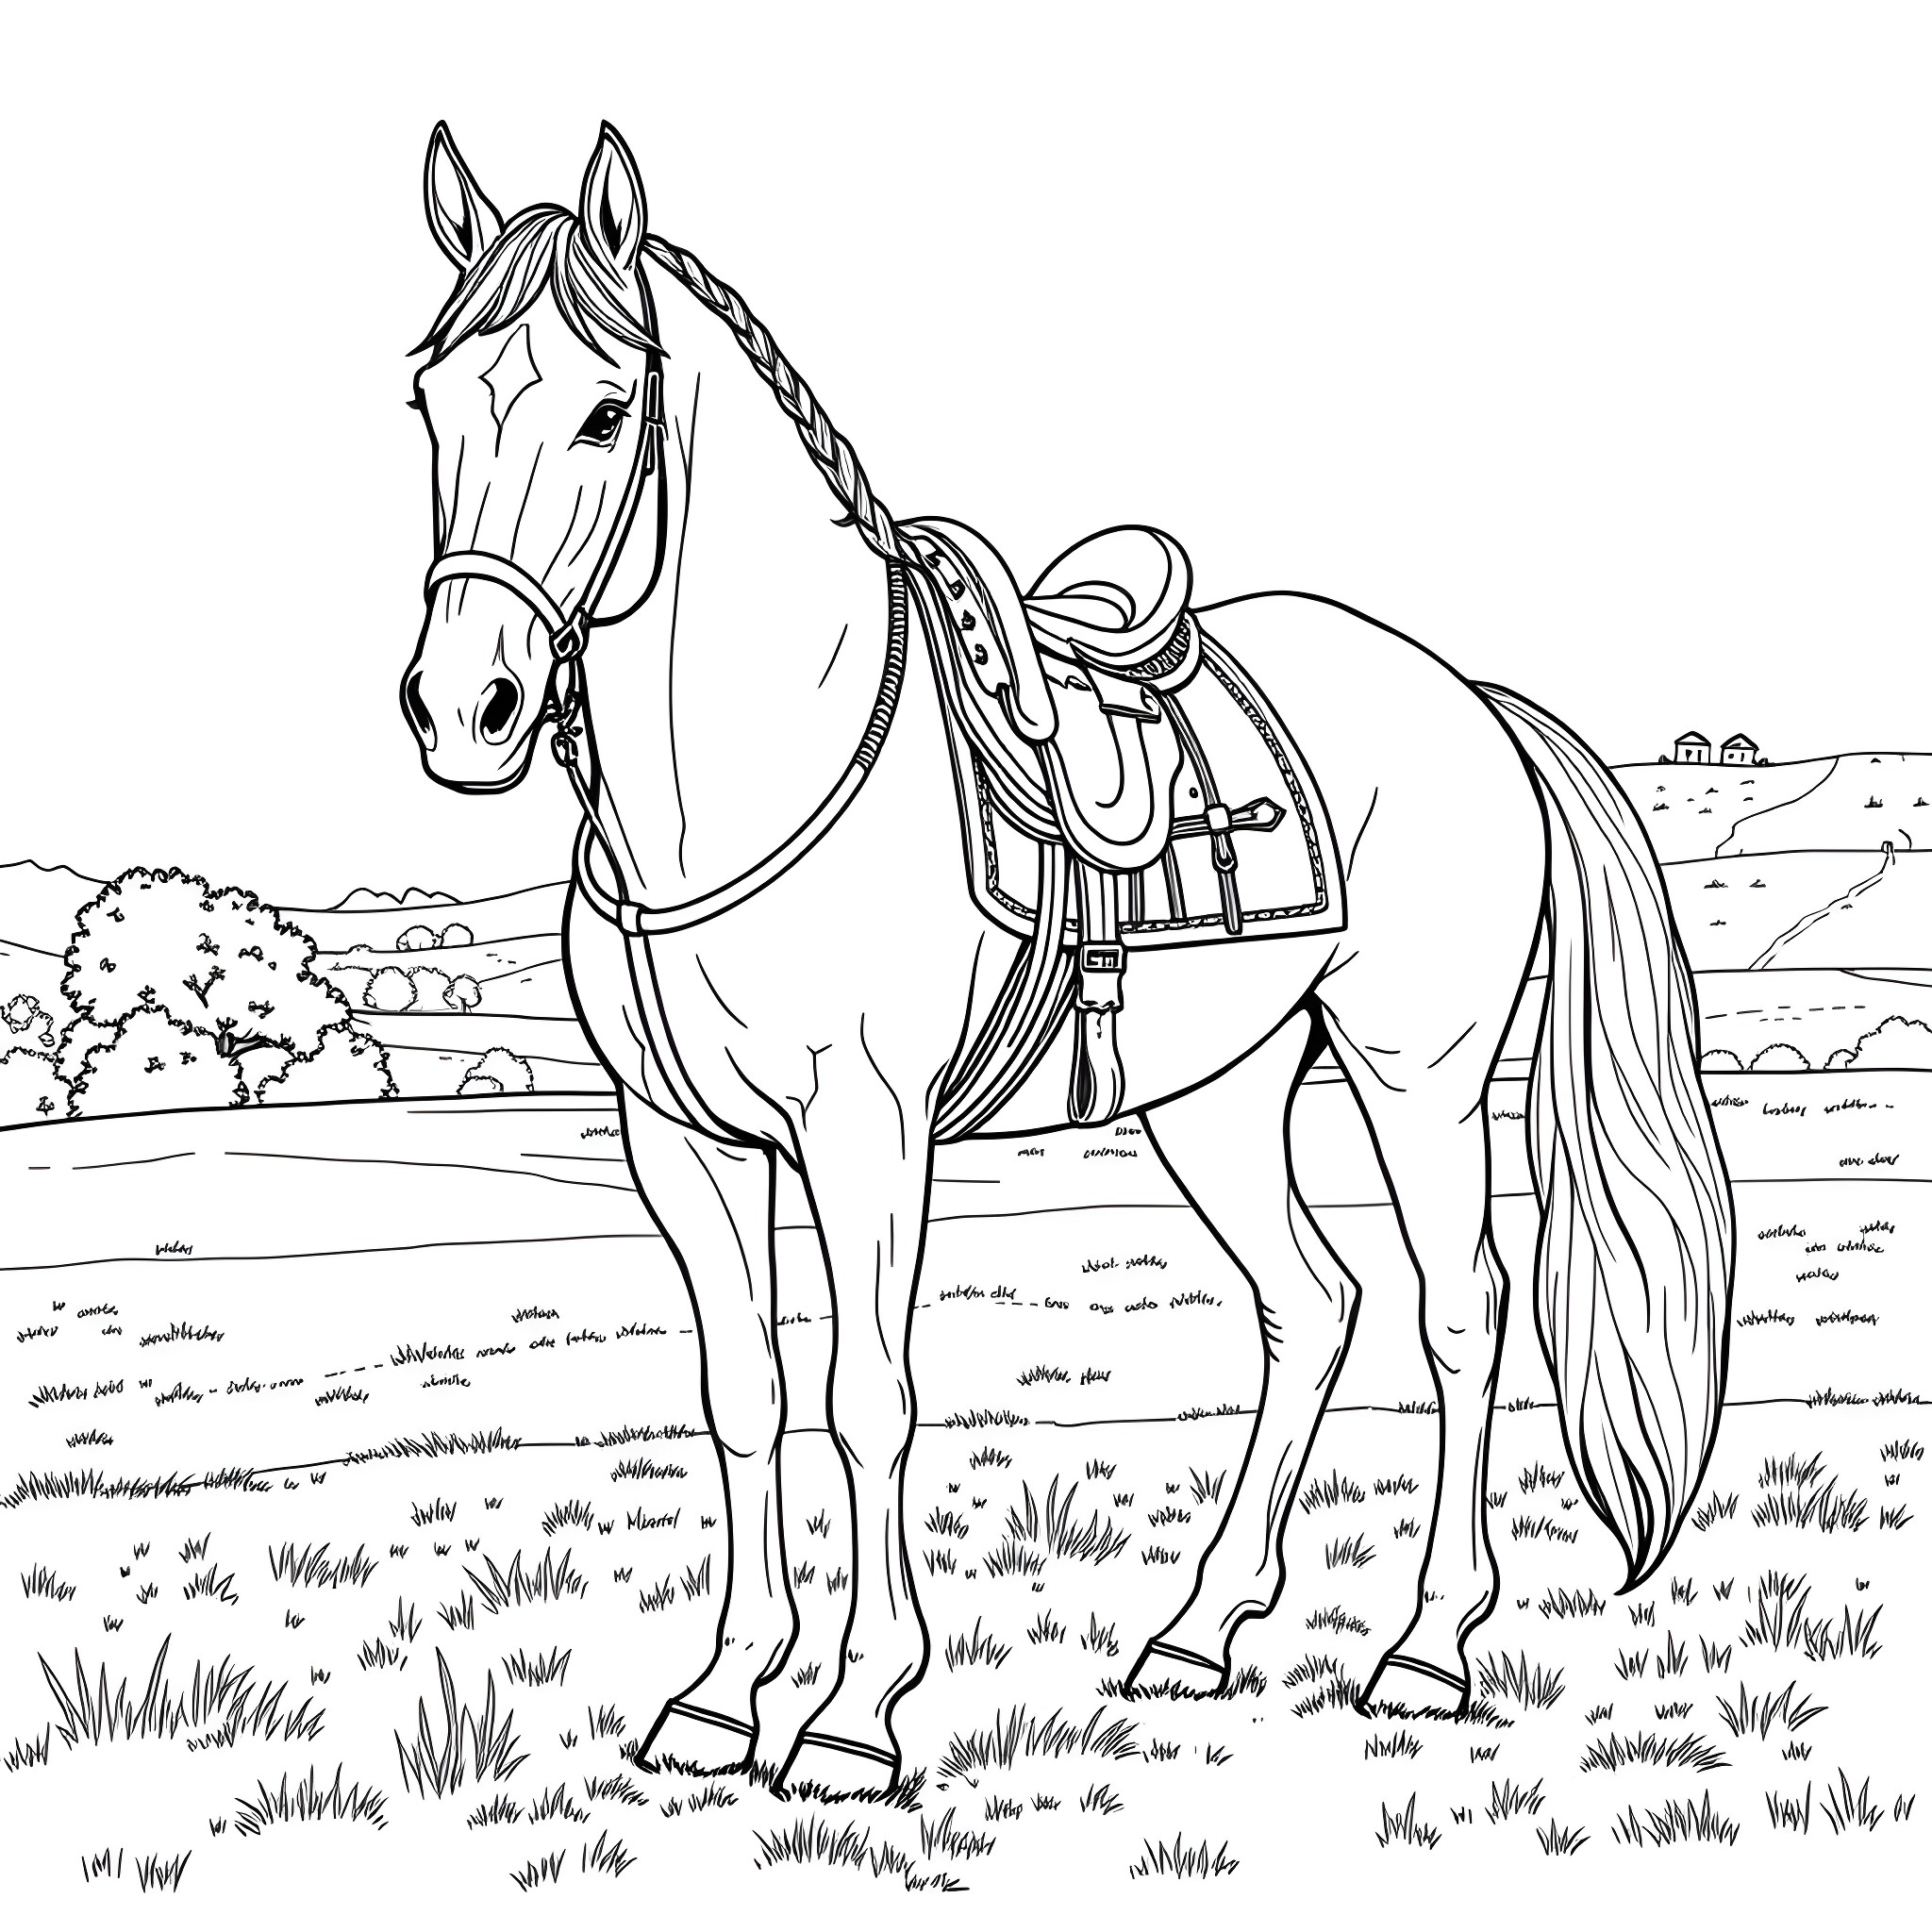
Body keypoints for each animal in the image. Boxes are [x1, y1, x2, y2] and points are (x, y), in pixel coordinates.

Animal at [397, 122, 1733, 1795]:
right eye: (430, 402)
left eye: (602, 410)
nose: (465, 709)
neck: (752, 779)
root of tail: (1467, 699)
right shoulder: (681, 1142)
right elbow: (745, 1396)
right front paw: (715, 1700)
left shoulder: (867, 1136)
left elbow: (868, 1398)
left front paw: (853, 1716)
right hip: (1217, 1098)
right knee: (1310, 1305)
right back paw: (1196, 1632)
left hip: (1415, 1079)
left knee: (1459, 1313)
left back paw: (1426, 1649)